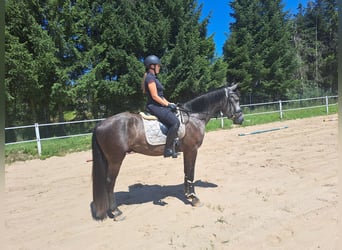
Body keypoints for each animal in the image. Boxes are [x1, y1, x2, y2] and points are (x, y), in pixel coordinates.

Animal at [91, 83, 243, 220]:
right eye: (235, 99)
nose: (241, 119)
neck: (194, 117)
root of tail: (100, 124)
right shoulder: (192, 149)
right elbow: (191, 173)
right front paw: (194, 199)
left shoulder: (187, 151)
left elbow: (186, 172)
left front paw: (188, 195)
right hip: (116, 159)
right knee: (109, 182)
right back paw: (116, 212)